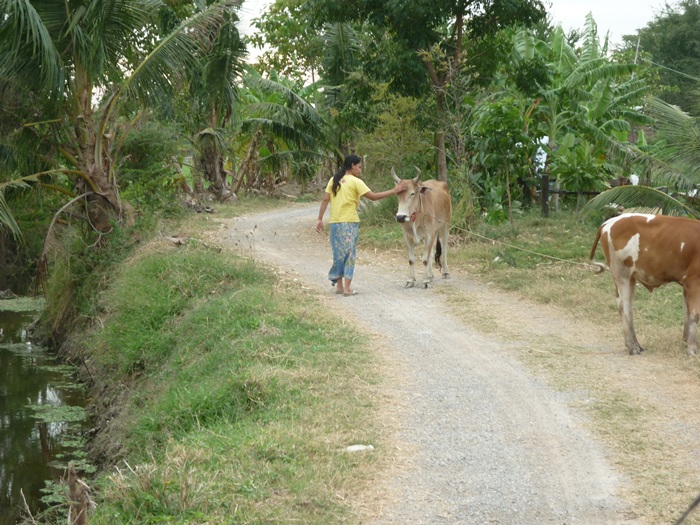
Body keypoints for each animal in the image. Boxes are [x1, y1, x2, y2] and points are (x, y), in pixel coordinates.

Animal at [588, 213, 700, 356]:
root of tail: (610, 221)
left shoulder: (686, 285)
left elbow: (686, 311)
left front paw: (686, 339)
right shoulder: (694, 282)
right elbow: (694, 314)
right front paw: (692, 348)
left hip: (629, 277)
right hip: (622, 274)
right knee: (625, 306)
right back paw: (633, 347)